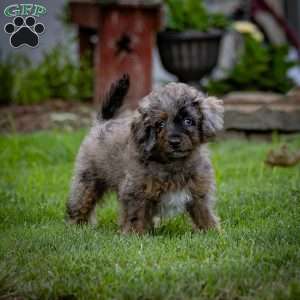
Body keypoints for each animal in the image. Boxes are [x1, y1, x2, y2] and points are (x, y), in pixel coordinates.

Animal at [67, 74, 224, 233]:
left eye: (188, 121)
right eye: (160, 124)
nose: (174, 141)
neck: (173, 163)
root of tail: (103, 123)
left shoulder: (199, 191)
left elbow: (203, 213)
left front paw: (212, 231)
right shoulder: (136, 192)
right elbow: (136, 215)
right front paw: (134, 233)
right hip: (88, 179)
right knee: (81, 202)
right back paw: (78, 225)